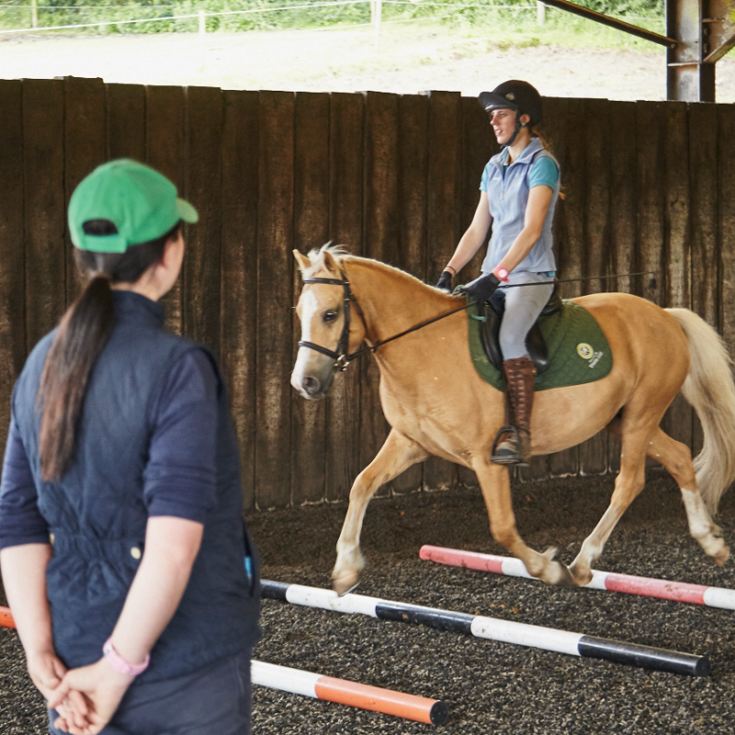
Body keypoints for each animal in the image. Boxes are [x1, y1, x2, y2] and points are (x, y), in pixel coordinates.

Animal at [291, 244, 735, 594]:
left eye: (330, 314)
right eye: (300, 312)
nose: (305, 382)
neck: (424, 346)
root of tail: (665, 315)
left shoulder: (486, 458)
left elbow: (502, 527)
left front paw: (547, 568)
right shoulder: (410, 441)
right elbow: (361, 485)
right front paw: (346, 569)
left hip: (643, 413)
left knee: (630, 480)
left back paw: (582, 563)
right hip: (625, 419)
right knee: (679, 457)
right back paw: (711, 542)